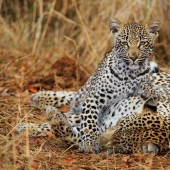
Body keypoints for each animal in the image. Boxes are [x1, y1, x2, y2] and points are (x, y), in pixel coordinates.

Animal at [17, 18, 166, 153]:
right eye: (125, 43)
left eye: (142, 43)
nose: (133, 57)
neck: (130, 74)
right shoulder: (94, 98)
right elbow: (88, 121)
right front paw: (90, 142)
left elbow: (146, 85)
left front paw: (152, 93)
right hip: (85, 93)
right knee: (73, 97)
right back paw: (36, 101)